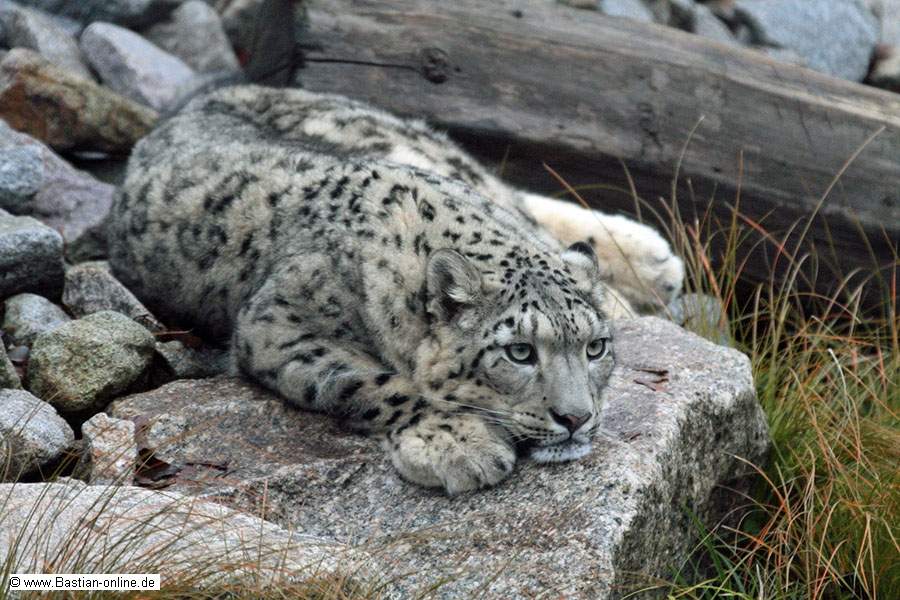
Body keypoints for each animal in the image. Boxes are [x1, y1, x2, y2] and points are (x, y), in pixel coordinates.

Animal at [108, 85, 684, 495]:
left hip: (432, 152)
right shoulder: (278, 325)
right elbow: (373, 383)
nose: (575, 418)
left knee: (517, 199)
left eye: (595, 348)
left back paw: (651, 263)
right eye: (519, 352)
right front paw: (458, 444)